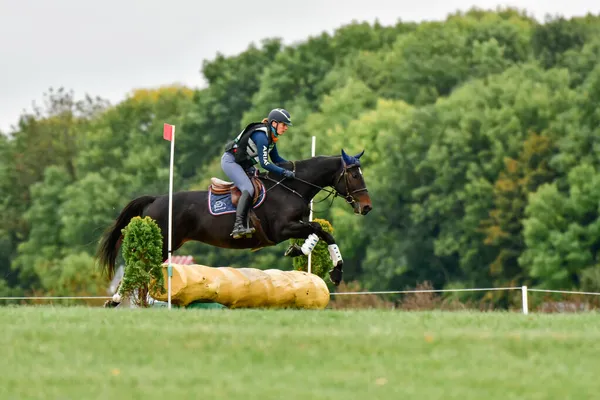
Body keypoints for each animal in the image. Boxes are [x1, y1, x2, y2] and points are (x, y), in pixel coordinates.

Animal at [96, 150, 372, 304]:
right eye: (354, 176)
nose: (366, 207)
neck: (291, 187)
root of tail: (156, 199)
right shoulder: (282, 230)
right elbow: (320, 229)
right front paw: (333, 270)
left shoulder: (295, 225)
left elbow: (320, 232)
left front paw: (309, 256)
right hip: (164, 241)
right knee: (138, 266)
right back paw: (116, 300)